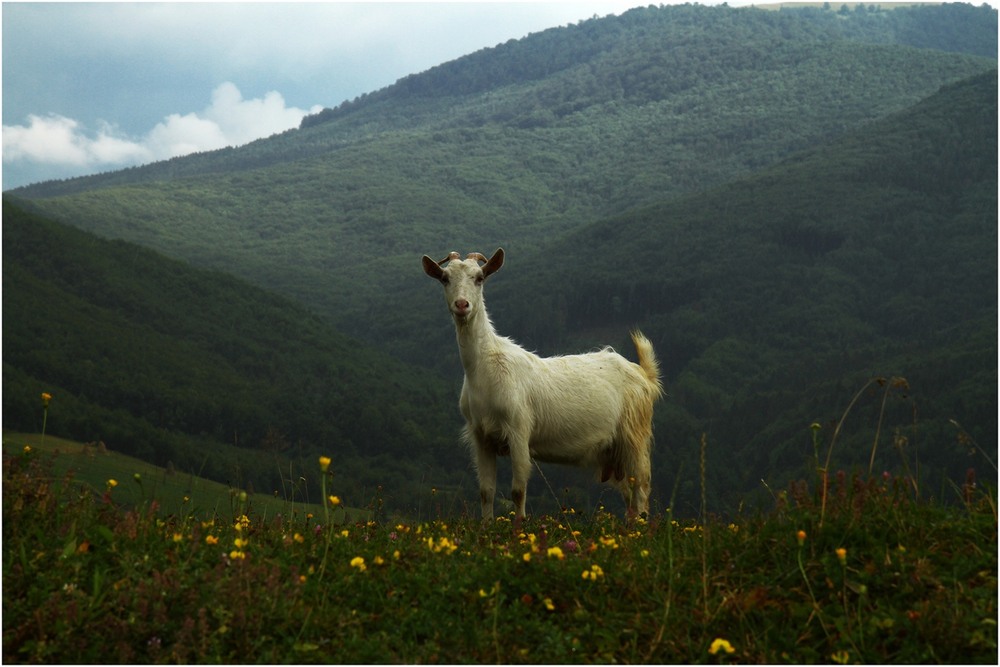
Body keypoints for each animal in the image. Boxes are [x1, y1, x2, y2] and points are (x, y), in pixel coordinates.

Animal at [422, 248, 664, 520]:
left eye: (479, 278)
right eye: (444, 278)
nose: (462, 305)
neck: (485, 368)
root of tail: (644, 376)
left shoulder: (519, 429)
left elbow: (518, 491)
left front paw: (519, 526)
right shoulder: (480, 436)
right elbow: (486, 491)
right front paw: (487, 526)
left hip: (635, 436)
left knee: (641, 488)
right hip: (615, 453)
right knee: (630, 496)